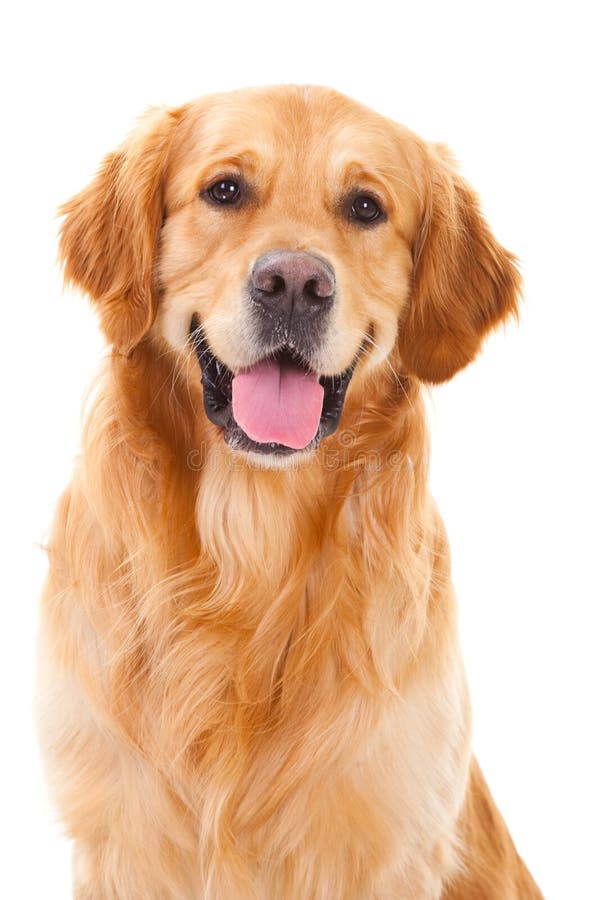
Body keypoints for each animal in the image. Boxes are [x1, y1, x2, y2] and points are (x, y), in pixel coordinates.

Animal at [38, 86, 544, 900]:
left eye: (366, 206)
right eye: (225, 190)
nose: (297, 285)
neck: (251, 544)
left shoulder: (385, 840)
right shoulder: (120, 837)